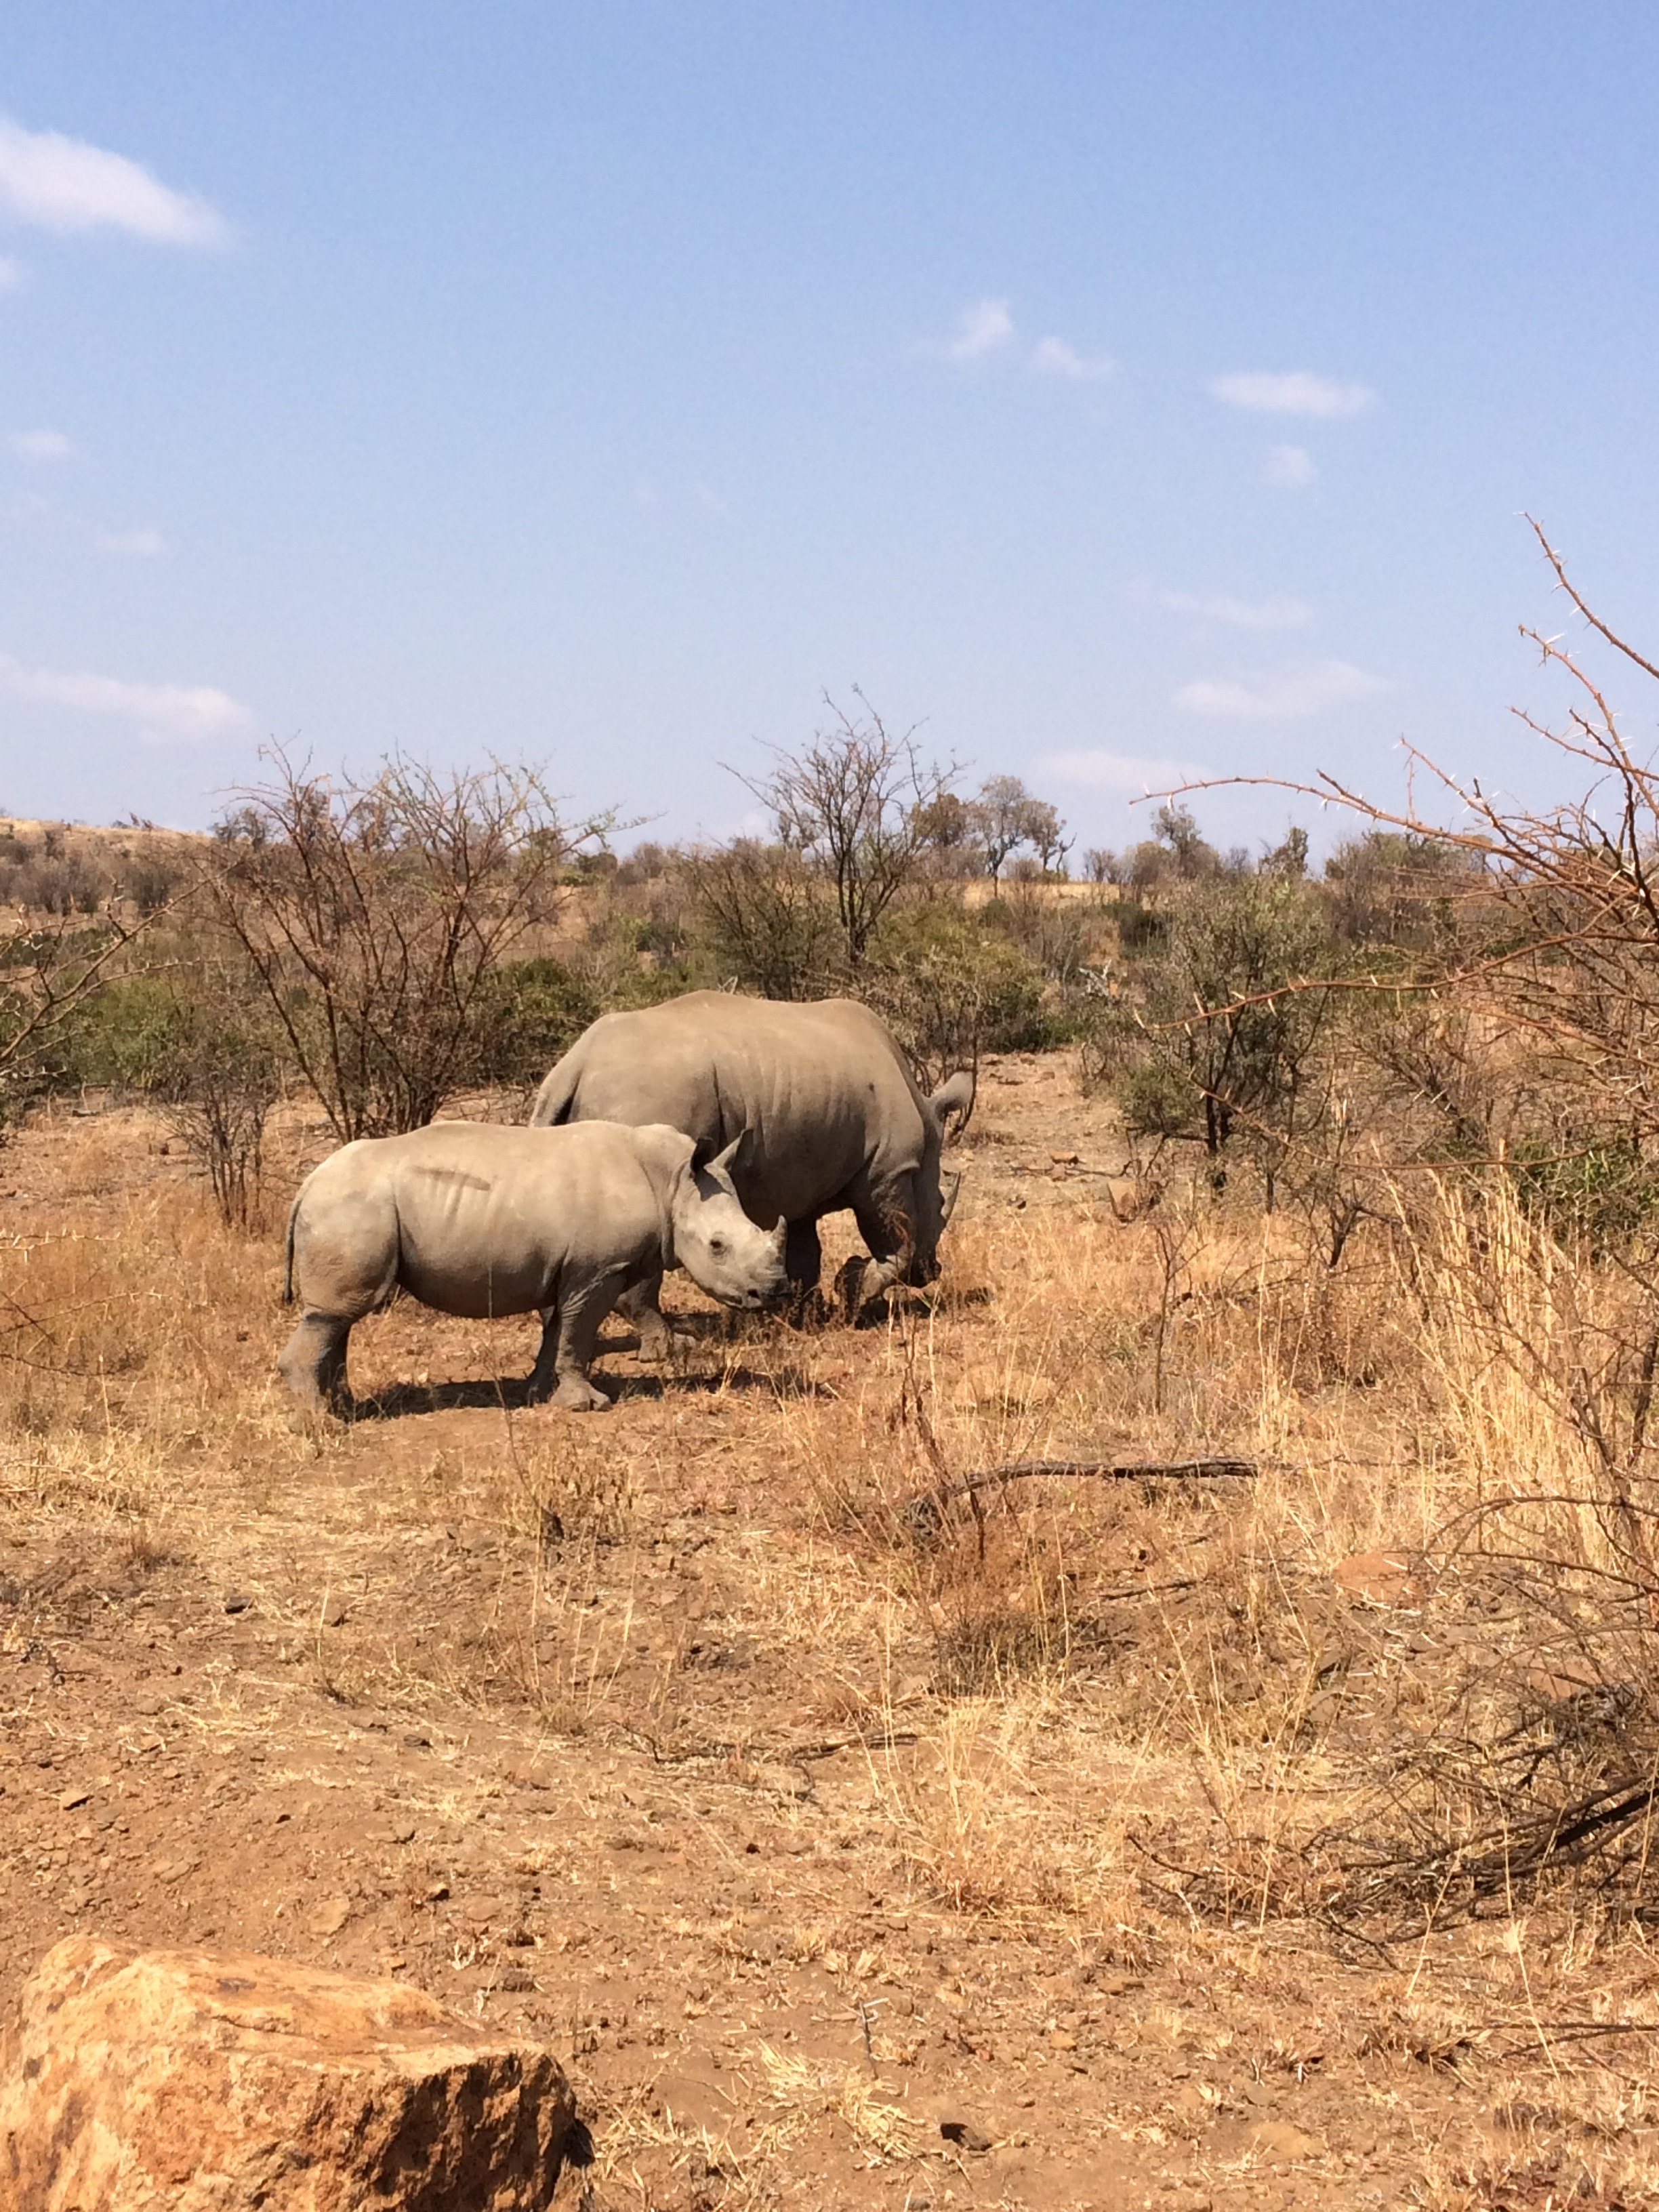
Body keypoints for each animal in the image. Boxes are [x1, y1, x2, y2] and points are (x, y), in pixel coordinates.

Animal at [281, 1124, 792, 1415]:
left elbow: (557, 1333)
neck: (671, 1184)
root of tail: (308, 1183)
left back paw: (344, 1407)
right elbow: (578, 1332)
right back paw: (321, 1424)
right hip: (349, 1207)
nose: (773, 1293)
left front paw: (537, 1392)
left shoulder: (574, 1271)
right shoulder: (598, 1270)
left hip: (349, 1209)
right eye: (717, 1246)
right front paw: (587, 1405)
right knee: (336, 1314)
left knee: (339, 1316)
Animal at [529, 991, 973, 1345]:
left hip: (587, 1100)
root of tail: (575, 1065)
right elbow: (898, 1238)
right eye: (940, 1205)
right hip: (650, 1093)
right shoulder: (890, 1170)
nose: (931, 1272)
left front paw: (804, 1312)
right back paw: (671, 1347)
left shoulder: (798, 1181)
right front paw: (854, 1295)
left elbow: (803, 1251)